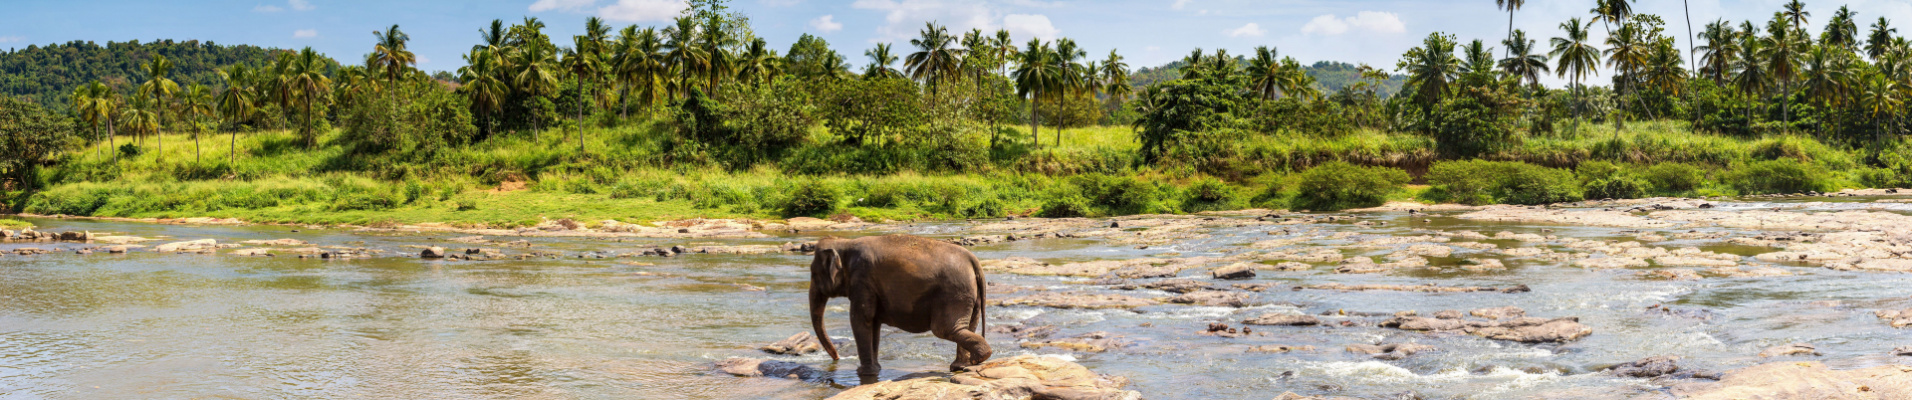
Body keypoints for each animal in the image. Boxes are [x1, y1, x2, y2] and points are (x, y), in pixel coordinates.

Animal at [806, 234, 994, 384]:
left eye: (813, 273)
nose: (837, 358)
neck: (844, 243)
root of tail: (973, 261)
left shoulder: (862, 280)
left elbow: (861, 319)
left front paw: (864, 373)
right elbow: (874, 324)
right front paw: (875, 369)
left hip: (954, 293)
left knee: (944, 329)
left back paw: (978, 358)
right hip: (970, 295)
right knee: (967, 326)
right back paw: (962, 365)